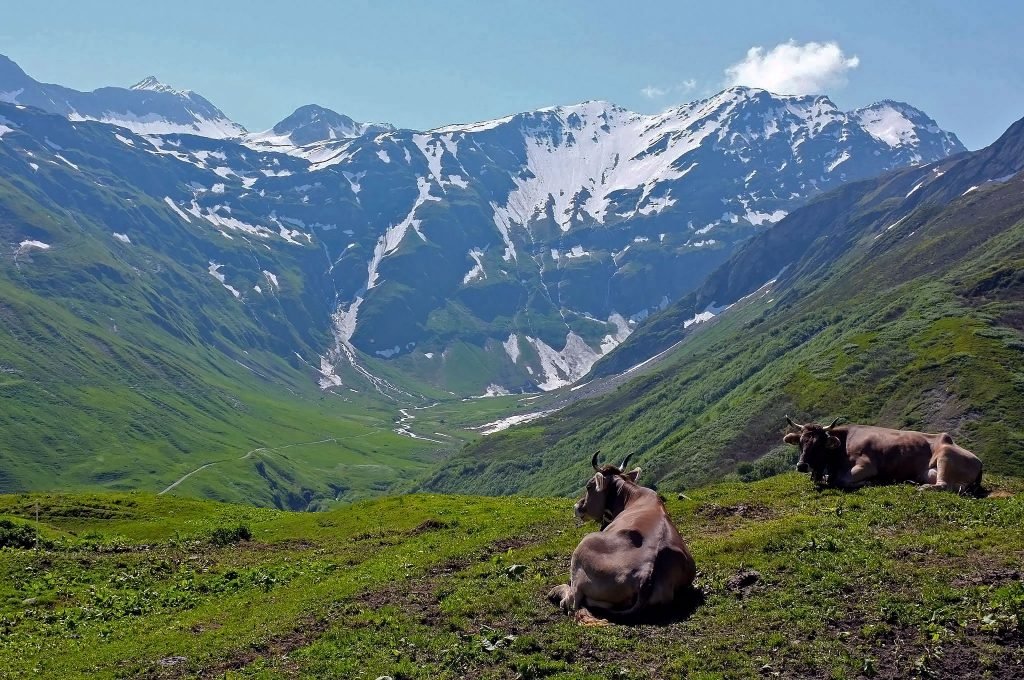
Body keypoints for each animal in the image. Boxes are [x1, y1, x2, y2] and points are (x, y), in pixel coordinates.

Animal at [544, 454, 696, 622]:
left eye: (589, 486)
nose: (577, 507)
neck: (632, 495)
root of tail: (646, 574)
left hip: (583, 548)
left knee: (572, 600)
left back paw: (556, 591)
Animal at [782, 413, 983, 493]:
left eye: (819, 444)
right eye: (801, 442)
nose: (802, 465)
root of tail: (979, 462)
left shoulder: (867, 465)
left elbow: (842, 480)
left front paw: (871, 482)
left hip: (945, 456)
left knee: (945, 485)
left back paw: (921, 488)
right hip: (928, 472)